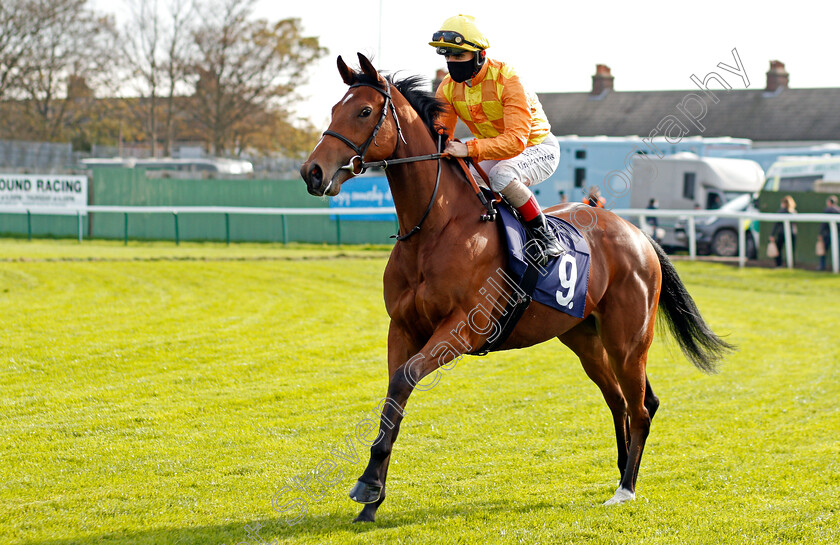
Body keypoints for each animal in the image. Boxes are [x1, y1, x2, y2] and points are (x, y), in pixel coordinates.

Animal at [298, 52, 732, 524]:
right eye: (334, 109)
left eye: (363, 111)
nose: (312, 172)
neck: (436, 227)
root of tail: (638, 234)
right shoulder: (403, 327)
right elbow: (395, 392)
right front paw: (371, 497)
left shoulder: (462, 330)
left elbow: (405, 379)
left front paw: (368, 485)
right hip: (584, 338)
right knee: (619, 401)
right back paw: (620, 472)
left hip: (628, 341)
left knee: (639, 406)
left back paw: (626, 489)